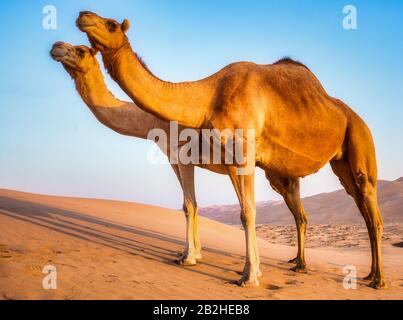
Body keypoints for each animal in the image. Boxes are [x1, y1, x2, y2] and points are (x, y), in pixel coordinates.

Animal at [76, 11, 388, 288]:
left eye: (111, 24)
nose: (82, 15)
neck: (208, 97)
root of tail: (356, 117)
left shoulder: (228, 154)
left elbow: (242, 212)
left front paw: (246, 276)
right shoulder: (228, 159)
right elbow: (226, 209)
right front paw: (240, 267)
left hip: (360, 138)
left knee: (371, 207)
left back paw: (378, 280)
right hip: (298, 171)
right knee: (321, 210)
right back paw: (307, 266)